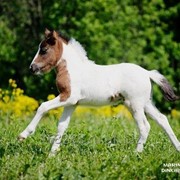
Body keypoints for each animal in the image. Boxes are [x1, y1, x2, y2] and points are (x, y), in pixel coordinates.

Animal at [18, 29, 180, 155]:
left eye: (44, 50)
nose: (32, 68)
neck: (72, 69)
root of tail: (147, 73)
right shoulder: (72, 103)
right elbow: (62, 126)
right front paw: (52, 154)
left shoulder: (68, 97)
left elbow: (43, 106)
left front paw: (23, 135)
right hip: (146, 103)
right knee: (162, 119)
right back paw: (177, 148)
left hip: (134, 104)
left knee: (145, 127)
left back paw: (136, 154)